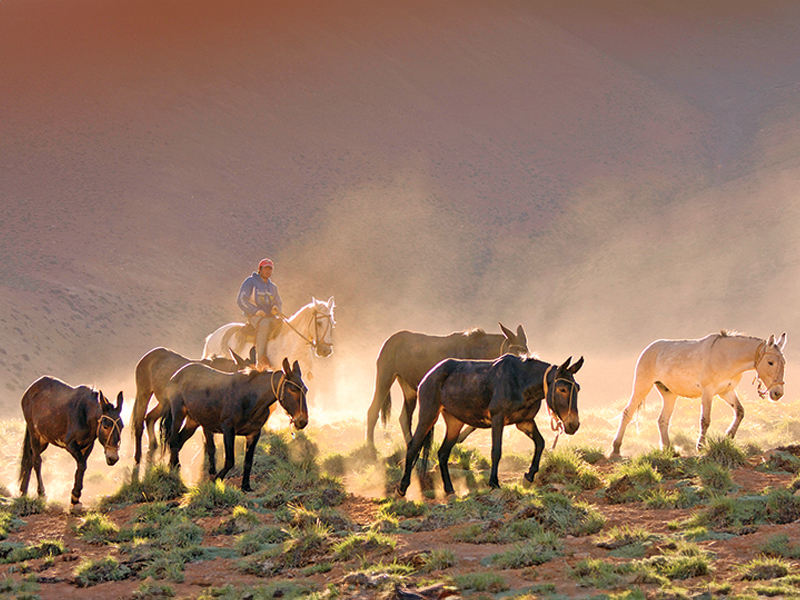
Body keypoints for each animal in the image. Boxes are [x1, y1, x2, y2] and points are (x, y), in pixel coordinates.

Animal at [19, 376, 124, 508]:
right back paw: (41, 493)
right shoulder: (70, 444)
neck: (86, 415)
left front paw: (75, 498)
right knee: (37, 461)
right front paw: (75, 495)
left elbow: (81, 466)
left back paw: (23, 492)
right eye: (105, 426)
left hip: (43, 440)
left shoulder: (87, 446)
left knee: (29, 461)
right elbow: (82, 465)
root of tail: (29, 391)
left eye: (122, 427)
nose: (113, 458)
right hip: (34, 435)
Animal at [161, 357, 308, 491]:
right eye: (293, 389)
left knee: (179, 441)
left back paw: (174, 468)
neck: (250, 399)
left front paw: (245, 486)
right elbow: (230, 460)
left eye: (305, 390)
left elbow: (248, 461)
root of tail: (177, 374)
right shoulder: (228, 430)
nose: (302, 421)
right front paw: (215, 480)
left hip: (193, 421)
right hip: (179, 412)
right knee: (173, 440)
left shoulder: (254, 433)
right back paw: (173, 471)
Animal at [365, 323, 529, 448]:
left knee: (404, 417)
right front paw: (457, 438)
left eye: (527, 353)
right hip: (385, 376)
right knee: (373, 410)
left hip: (408, 387)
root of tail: (387, 342)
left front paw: (458, 438)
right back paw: (371, 449)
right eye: (515, 352)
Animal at [398, 354, 583, 496]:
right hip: (428, 414)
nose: (573, 425)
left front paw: (529, 476)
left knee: (443, 453)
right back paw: (402, 487)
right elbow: (496, 451)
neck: (521, 381)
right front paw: (494, 482)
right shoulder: (497, 419)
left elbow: (540, 443)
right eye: (562, 389)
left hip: (454, 422)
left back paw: (449, 489)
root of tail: (428, 375)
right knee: (413, 446)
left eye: (578, 388)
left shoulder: (524, 422)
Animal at [610, 331, 787, 457]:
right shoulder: (708, 392)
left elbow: (740, 412)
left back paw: (669, 450)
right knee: (627, 413)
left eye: (783, 363)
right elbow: (705, 420)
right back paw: (615, 449)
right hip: (642, 386)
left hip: (669, 394)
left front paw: (728, 436)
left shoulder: (726, 391)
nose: (777, 393)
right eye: (770, 362)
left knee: (662, 420)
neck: (727, 356)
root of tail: (649, 349)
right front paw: (700, 446)